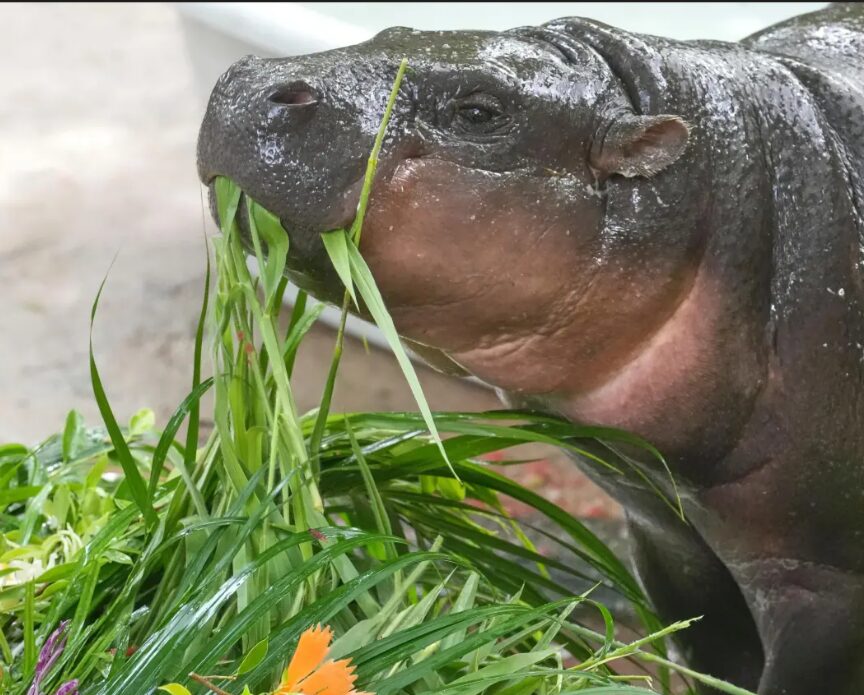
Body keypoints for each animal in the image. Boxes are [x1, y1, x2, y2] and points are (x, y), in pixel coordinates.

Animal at [197, 3, 864, 693]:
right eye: (391, 31)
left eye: (480, 111)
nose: (249, 80)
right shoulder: (665, 534)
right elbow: (712, 657)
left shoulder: (821, 582)